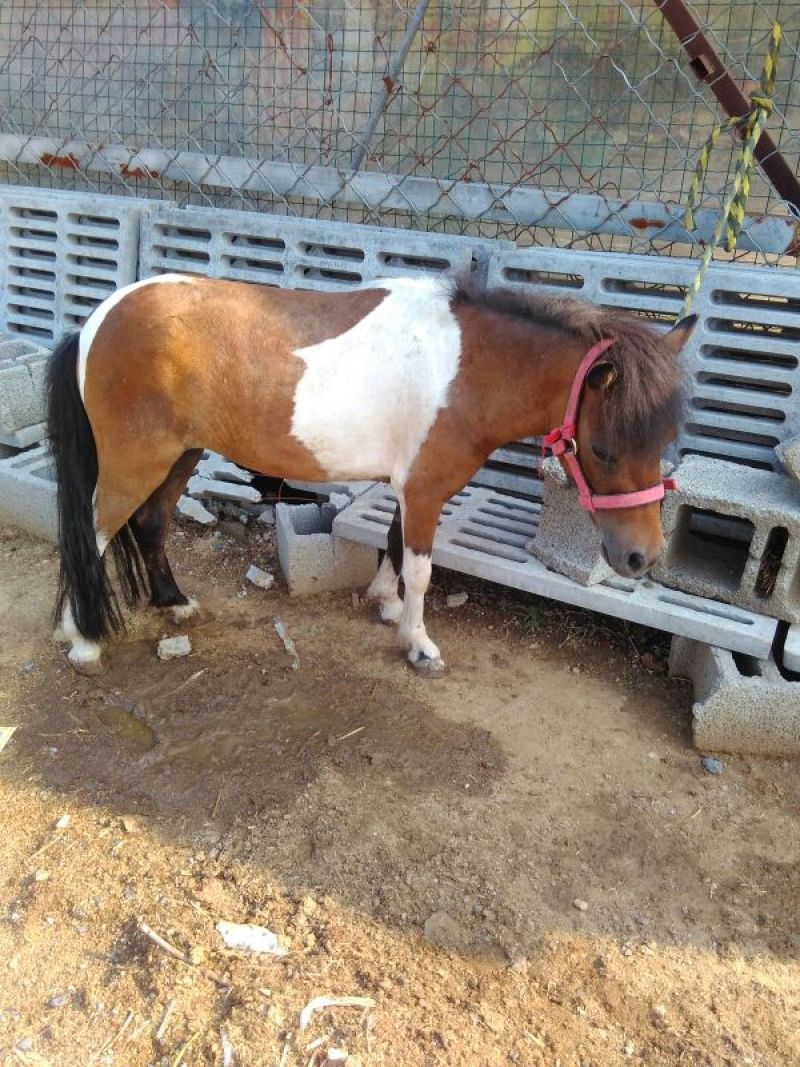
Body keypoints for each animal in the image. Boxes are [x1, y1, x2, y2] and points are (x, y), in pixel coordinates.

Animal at [46, 272, 695, 676]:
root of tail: (96, 323)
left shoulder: (408, 485)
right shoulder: (427, 488)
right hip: (137, 462)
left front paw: (385, 603)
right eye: (605, 449)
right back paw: (81, 640)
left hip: (179, 456)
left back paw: (174, 603)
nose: (640, 558)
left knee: (151, 525)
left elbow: (393, 541)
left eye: (665, 440)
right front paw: (418, 643)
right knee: (92, 535)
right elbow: (421, 568)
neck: (469, 367)